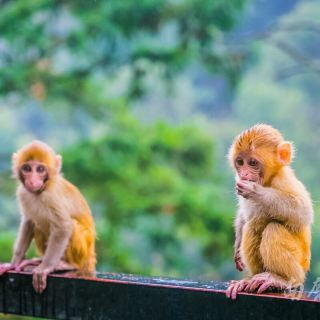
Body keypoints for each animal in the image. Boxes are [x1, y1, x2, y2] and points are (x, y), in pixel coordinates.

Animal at [0, 141, 96, 294]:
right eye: (27, 168)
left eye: (40, 169)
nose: (32, 181)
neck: (41, 190)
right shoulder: (23, 193)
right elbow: (28, 222)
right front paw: (13, 263)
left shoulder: (52, 196)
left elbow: (63, 226)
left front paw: (46, 267)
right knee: (38, 226)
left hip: (84, 251)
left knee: (71, 226)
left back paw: (67, 264)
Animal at [226, 124, 314, 298]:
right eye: (240, 162)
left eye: (252, 163)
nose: (244, 174)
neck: (267, 180)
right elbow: (243, 215)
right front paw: (237, 250)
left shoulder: (283, 179)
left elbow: (303, 212)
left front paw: (255, 191)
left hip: (301, 263)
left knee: (270, 227)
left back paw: (281, 279)